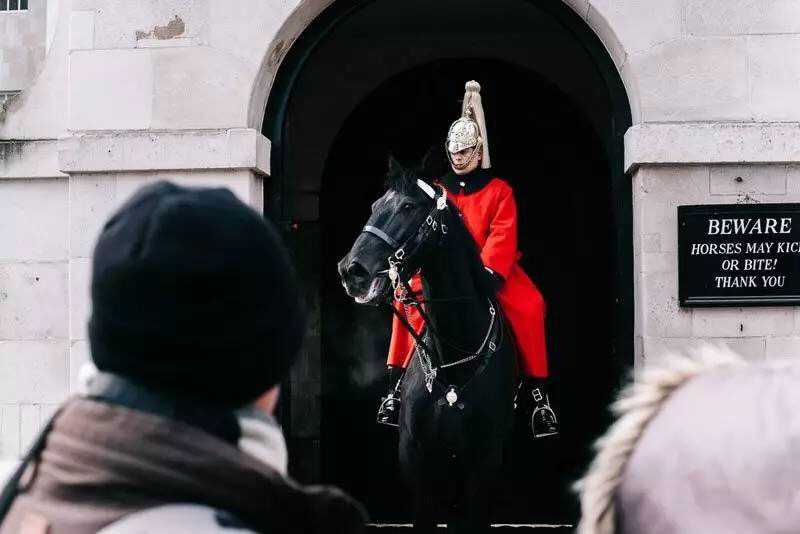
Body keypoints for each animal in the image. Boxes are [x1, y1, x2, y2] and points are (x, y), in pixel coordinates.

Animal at [336, 160, 512, 534]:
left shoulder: (483, 464)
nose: (351, 270)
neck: (455, 356)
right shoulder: (418, 462)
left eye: (407, 206)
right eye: (375, 205)